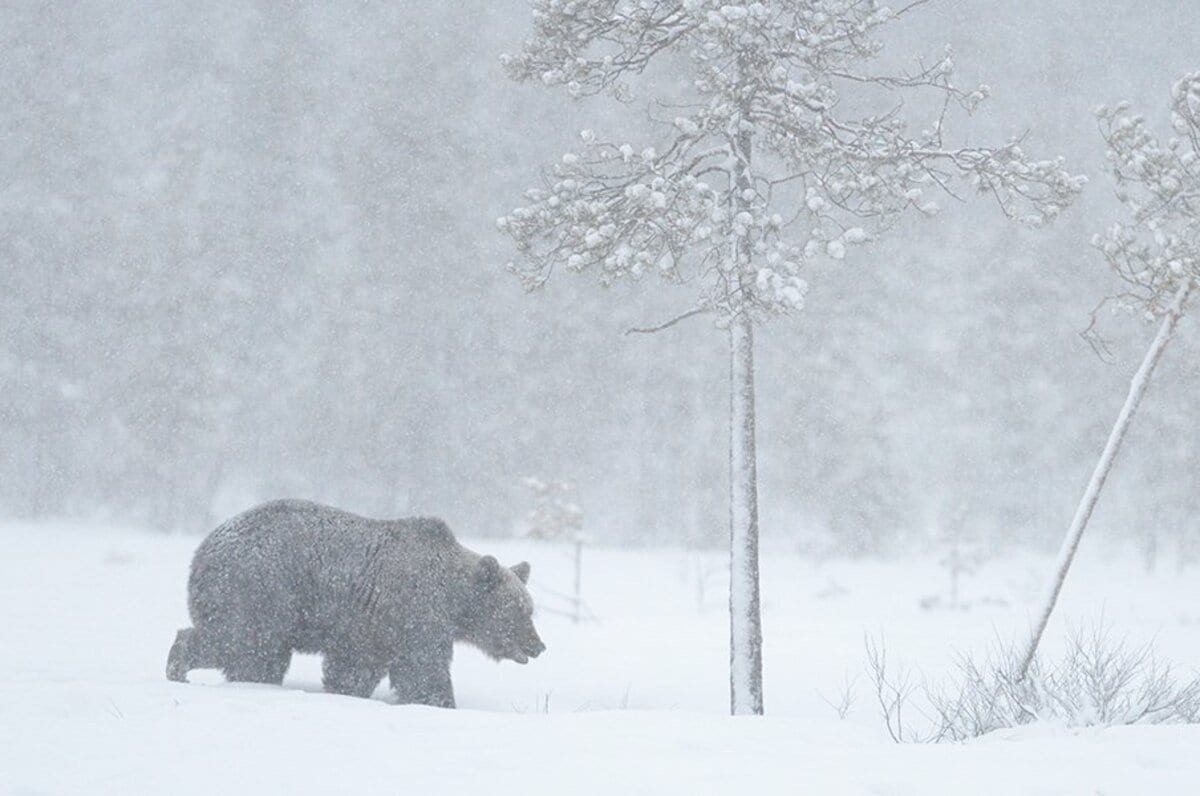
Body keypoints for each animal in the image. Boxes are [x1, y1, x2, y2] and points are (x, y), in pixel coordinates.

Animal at [166, 501, 547, 705]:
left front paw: (344, 691)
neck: (453, 600)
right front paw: (440, 702)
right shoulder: (414, 613)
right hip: (259, 590)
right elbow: (423, 669)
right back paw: (181, 668)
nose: (539, 645)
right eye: (518, 611)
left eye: (530, 610)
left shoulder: (368, 628)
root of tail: (204, 549)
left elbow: (355, 668)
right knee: (241, 641)